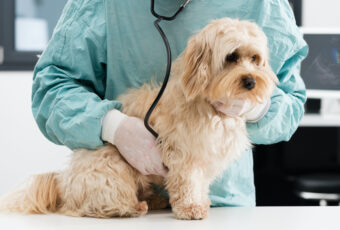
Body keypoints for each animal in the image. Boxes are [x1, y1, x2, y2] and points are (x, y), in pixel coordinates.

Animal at [0, 18, 276, 219]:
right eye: (231, 57)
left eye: (254, 59)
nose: (251, 81)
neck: (209, 106)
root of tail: (63, 185)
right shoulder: (183, 155)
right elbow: (188, 182)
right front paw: (190, 208)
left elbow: (200, 184)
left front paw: (201, 201)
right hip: (111, 165)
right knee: (101, 204)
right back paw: (133, 207)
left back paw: (154, 199)